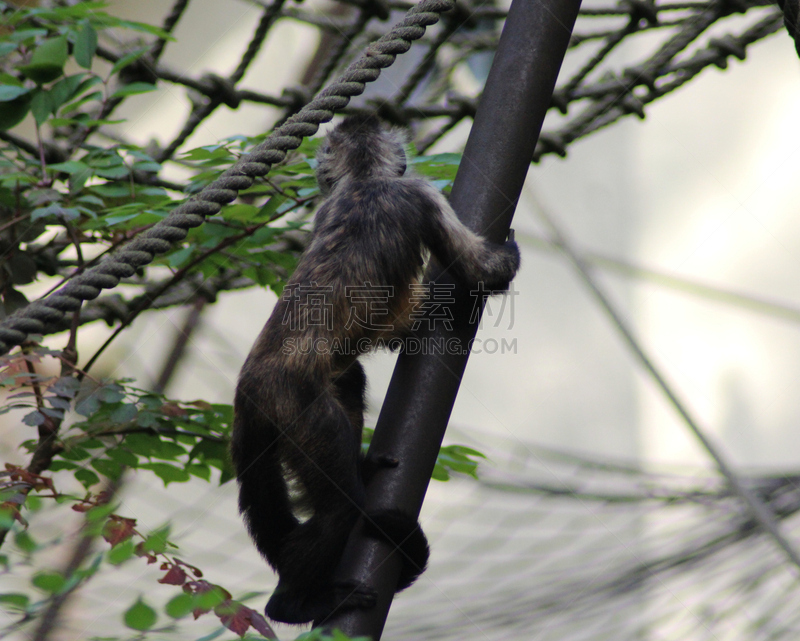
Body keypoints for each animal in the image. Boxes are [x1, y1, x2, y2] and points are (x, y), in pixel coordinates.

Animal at [230, 112, 520, 624]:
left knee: (348, 379)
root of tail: (249, 387)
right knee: (341, 508)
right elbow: (483, 271)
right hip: (298, 409)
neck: (364, 180)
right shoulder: (420, 194)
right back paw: (292, 603)